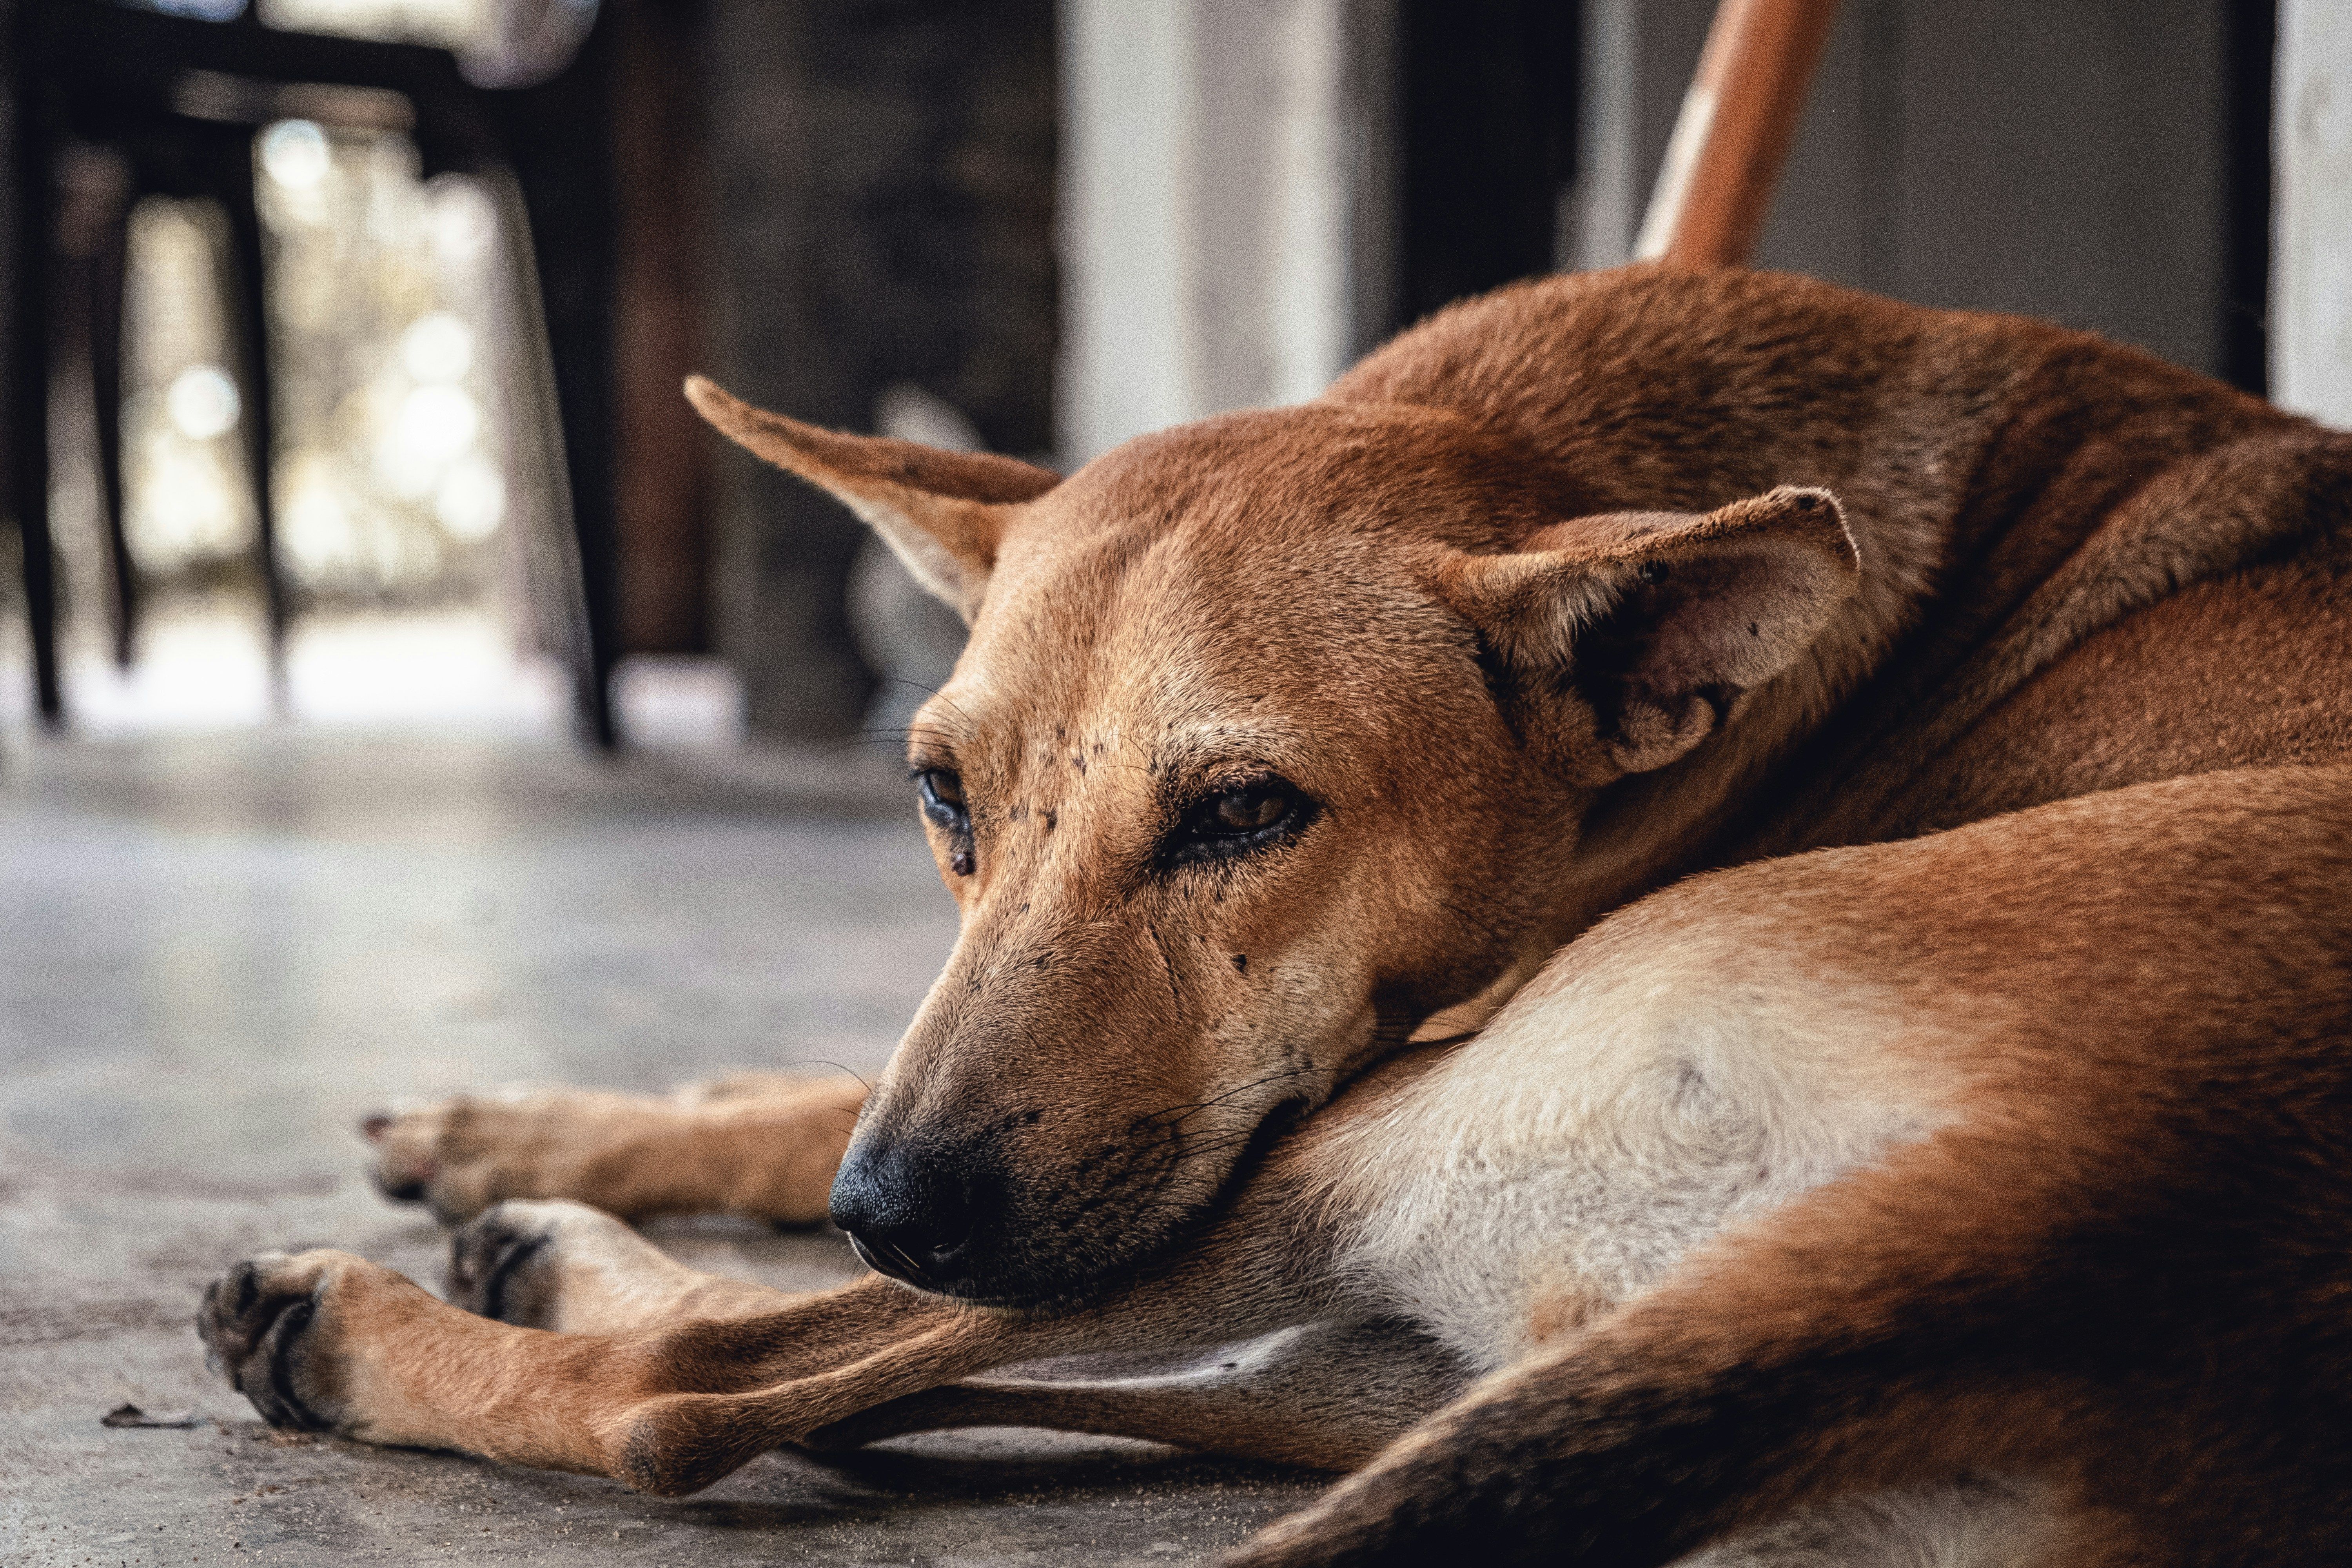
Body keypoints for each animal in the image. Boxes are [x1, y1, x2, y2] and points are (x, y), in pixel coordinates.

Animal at [198, 263, 2352, 1561]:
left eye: (1246, 811)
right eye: (938, 797)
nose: (893, 1205)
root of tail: (2050, 1223)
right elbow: (809, 1096)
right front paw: (545, 1122)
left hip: (1347, 1144)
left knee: (704, 1396)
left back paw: (382, 1321)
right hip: (1404, 1340)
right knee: (890, 1384)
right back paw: (553, 1242)